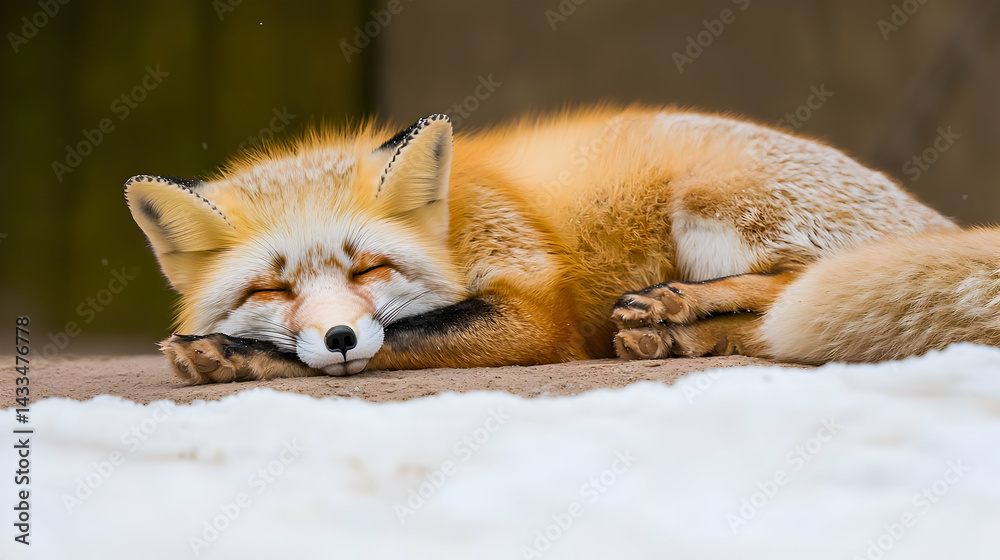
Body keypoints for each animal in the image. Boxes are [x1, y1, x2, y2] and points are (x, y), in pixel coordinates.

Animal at [125, 105, 989, 384]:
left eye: (368, 267)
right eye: (271, 289)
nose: (337, 335)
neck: (456, 222)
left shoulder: (533, 309)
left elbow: (405, 334)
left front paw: (238, 356)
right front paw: (231, 349)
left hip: (706, 203)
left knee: (800, 283)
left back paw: (676, 305)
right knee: (780, 328)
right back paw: (673, 335)